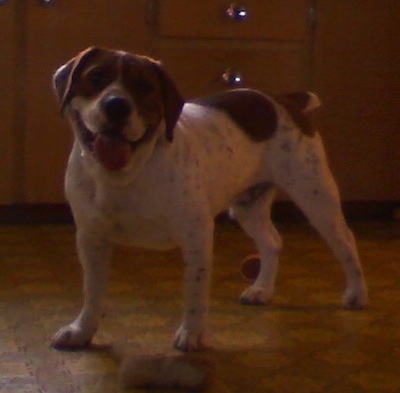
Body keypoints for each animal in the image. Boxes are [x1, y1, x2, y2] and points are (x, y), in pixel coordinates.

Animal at [50, 47, 368, 350]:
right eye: (96, 77)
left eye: (144, 87)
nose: (116, 105)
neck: (125, 176)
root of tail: (285, 99)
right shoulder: (91, 239)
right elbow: (92, 292)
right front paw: (82, 332)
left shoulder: (197, 235)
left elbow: (195, 291)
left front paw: (192, 334)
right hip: (247, 208)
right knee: (272, 242)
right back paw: (261, 290)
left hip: (316, 200)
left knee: (346, 241)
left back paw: (356, 294)